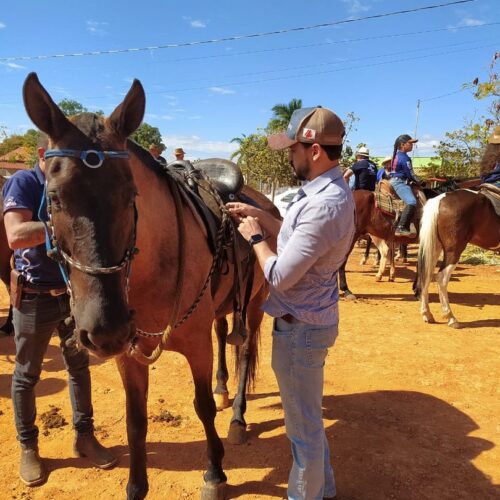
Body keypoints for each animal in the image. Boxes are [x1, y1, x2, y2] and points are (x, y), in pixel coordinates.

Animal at [22, 71, 274, 500]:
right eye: (53, 198)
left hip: (255, 305)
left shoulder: (195, 345)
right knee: (225, 333)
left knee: (243, 353)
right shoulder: (129, 353)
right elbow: (135, 420)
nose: (103, 330)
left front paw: (214, 473)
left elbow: (202, 406)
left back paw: (238, 417)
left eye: (130, 195)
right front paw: (135, 486)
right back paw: (224, 388)